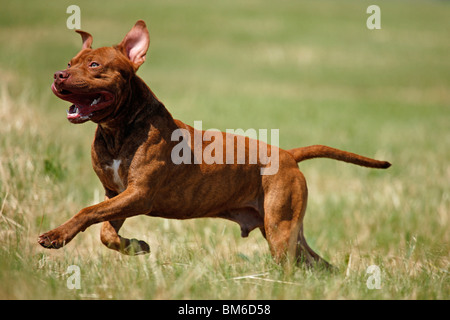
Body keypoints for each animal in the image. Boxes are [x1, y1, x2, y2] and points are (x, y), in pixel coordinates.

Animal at [38, 20, 390, 268]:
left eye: (94, 65)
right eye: (70, 62)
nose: (58, 75)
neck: (117, 130)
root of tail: (288, 155)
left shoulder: (139, 194)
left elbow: (87, 211)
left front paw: (56, 236)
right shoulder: (117, 194)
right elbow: (105, 230)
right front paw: (136, 246)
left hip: (280, 227)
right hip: (284, 230)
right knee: (318, 264)